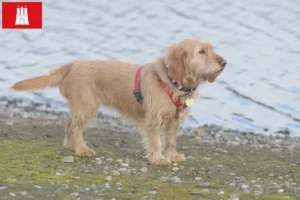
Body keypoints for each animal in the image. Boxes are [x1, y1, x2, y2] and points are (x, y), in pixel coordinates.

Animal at [11, 38, 227, 165]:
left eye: (212, 49)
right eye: (202, 51)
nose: (224, 62)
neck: (171, 82)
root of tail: (72, 64)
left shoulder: (174, 121)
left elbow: (171, 140)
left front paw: (172, 155)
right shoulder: (153, 120)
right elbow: (156, 141)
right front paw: (158, 158)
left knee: (69, 122)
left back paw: (71, 145)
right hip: (87, 107)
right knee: (74, 126)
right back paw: (81, 149)